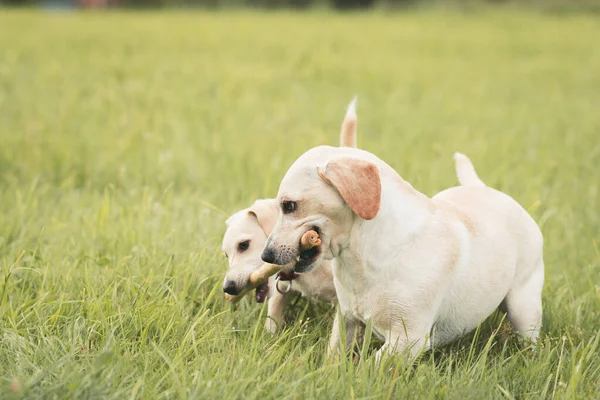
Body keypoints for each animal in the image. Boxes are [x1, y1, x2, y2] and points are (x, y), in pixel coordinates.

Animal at [262, 145, 544, 360]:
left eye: (289, 206)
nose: (266, 256)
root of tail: (488, 190)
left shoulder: (408, 340)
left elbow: (371, 367)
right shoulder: (347, 320)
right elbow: (334, 356)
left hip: (523, 309)